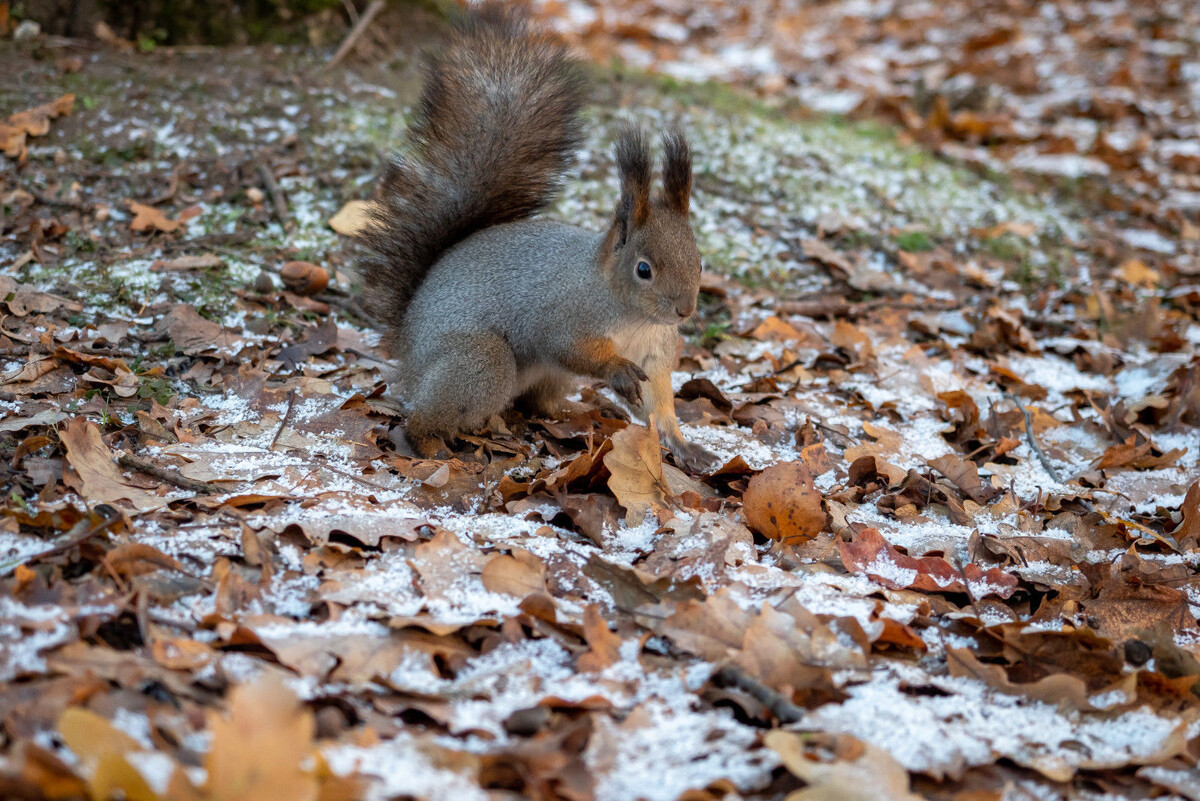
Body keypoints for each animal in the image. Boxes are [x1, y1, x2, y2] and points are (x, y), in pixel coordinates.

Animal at [355, 3, 715, 471]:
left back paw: (574, 412)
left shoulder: (654, 352)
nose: (684, 310)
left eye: (699, 262)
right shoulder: (561, 315)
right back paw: (434, 445)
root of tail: (407, 350)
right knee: (424, 415)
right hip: (480, 360)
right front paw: (617, 371)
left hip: (548, 377)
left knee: (539, 403)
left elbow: (659, 401)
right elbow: (570, 347)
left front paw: (683, 444)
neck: (632, 316)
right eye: (644, 269)